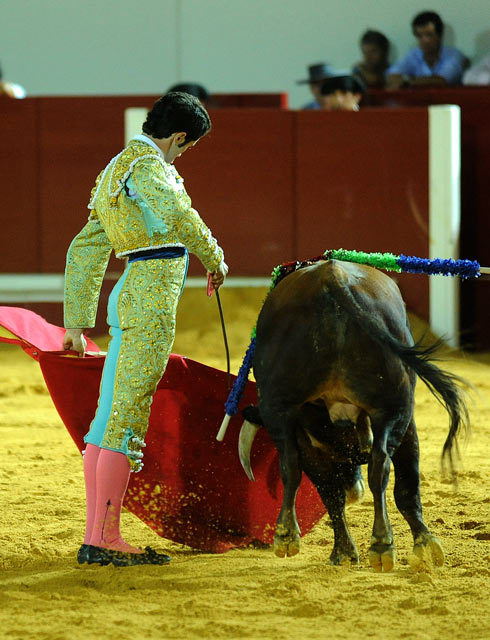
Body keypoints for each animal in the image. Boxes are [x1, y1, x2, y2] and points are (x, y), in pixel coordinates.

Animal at [239, 258, 468, 568]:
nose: (353, 492)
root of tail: (331, 277)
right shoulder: (404, 422)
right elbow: (401, 484)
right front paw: (424, 544)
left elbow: (331, 490)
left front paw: (345, 551)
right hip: (391, 406)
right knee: (379, 466)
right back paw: (379, 543)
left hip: (281, 406)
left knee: (293, 465)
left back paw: (289, 536)